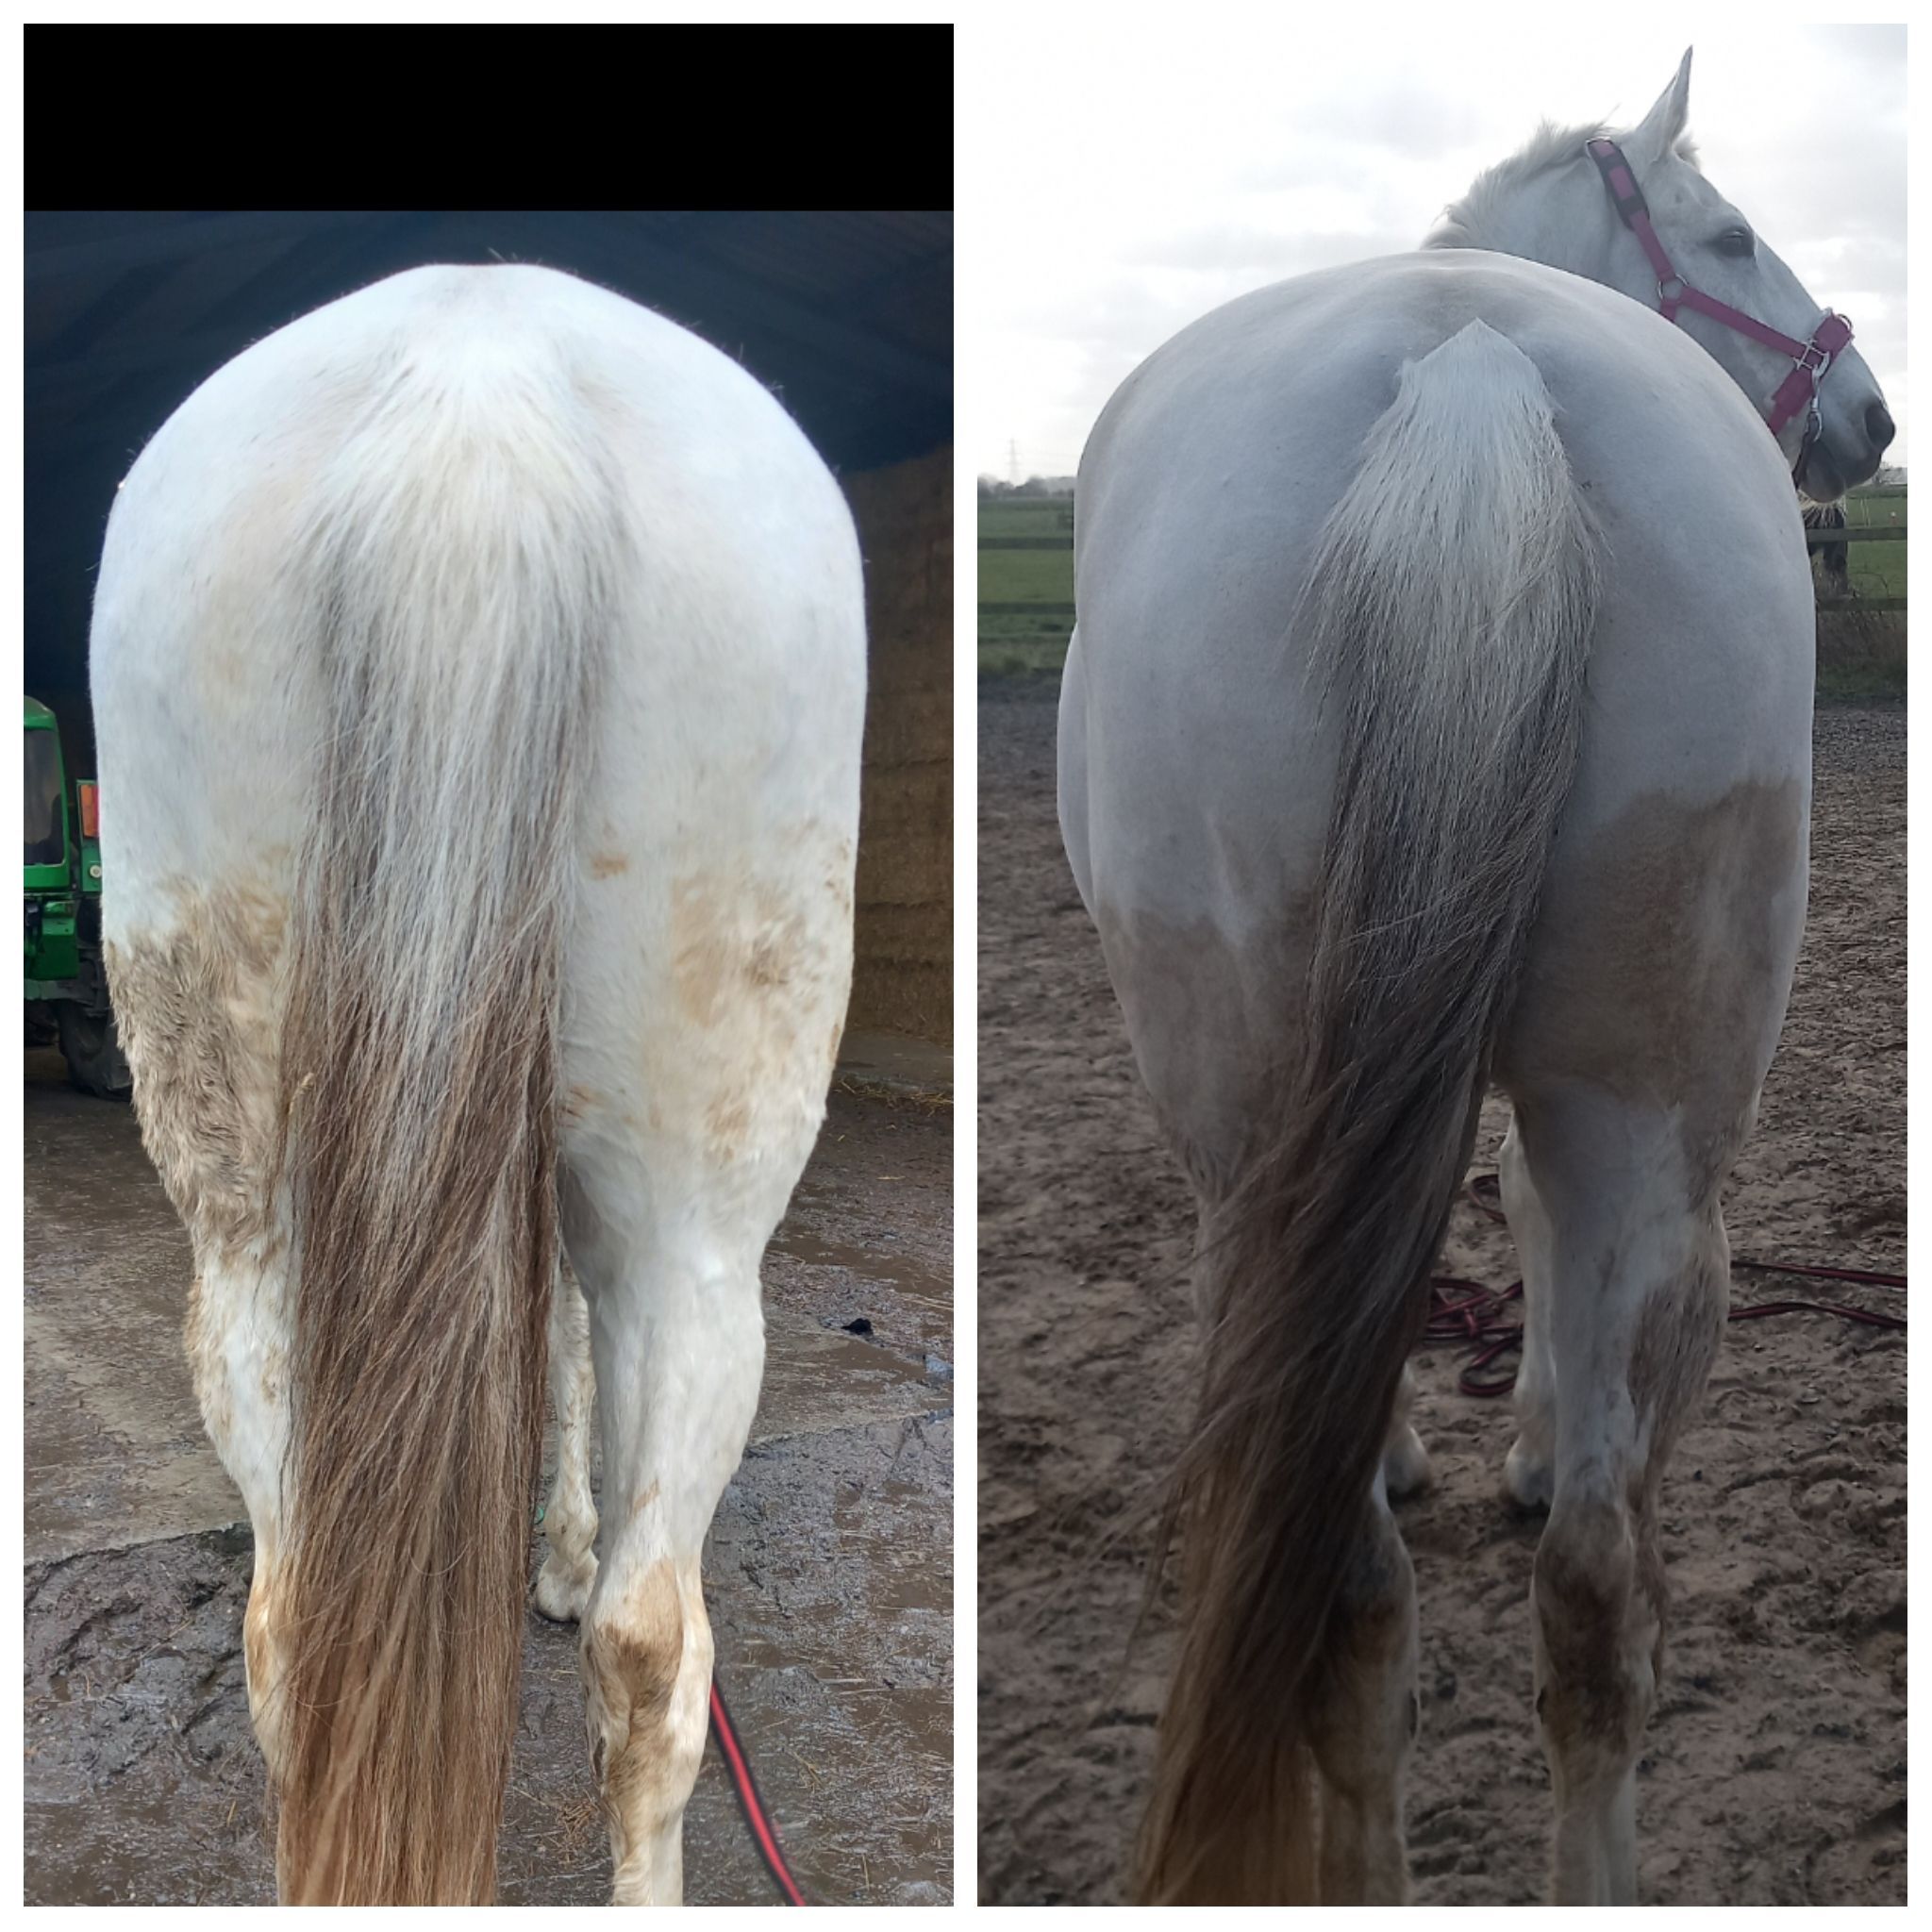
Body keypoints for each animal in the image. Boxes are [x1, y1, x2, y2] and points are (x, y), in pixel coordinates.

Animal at [89, 261, 866, 1904]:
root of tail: (481, 365)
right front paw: (561, 1555)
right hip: (698, 1239)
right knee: (653, 1649)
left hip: (257, 1231)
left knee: (292, 1633)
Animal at [1056, 50, 1892, 1905]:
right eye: (1731, 231)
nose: (1869, 420)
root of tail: (1471, 372)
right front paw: (1504, 1438)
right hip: (1639, 1131)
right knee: (1578, 1589)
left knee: (1390, 1593)